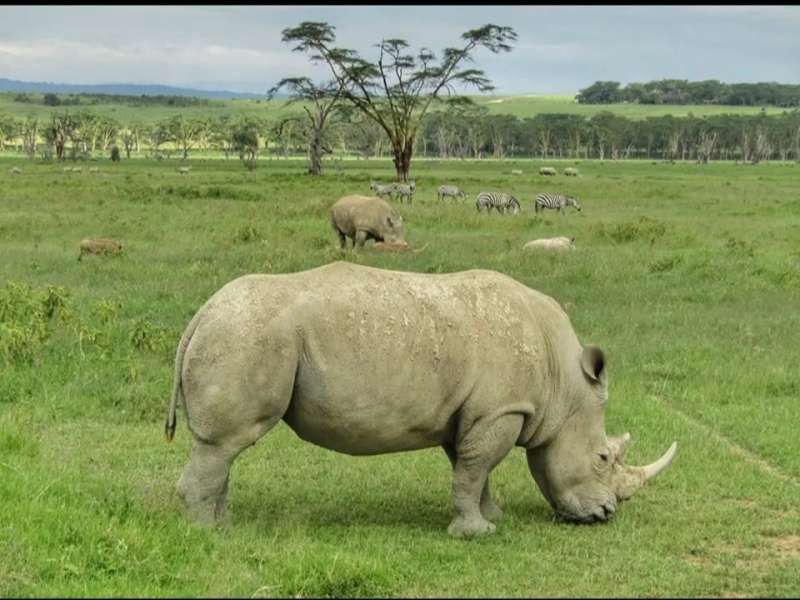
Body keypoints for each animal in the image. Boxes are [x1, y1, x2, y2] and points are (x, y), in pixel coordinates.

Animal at [165, 262, 677, 537]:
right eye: (603, 457)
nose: (605, 515)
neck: (562, 382)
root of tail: (201, 313)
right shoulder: (502, 409)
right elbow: (475, 468)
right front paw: (477, 533)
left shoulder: (472, 413)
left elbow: (472, 470)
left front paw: (492, 516)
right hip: (246, 335)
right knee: (223, 443)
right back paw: (207, 533)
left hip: (241, 331)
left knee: (225, 450)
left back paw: (224, 524)